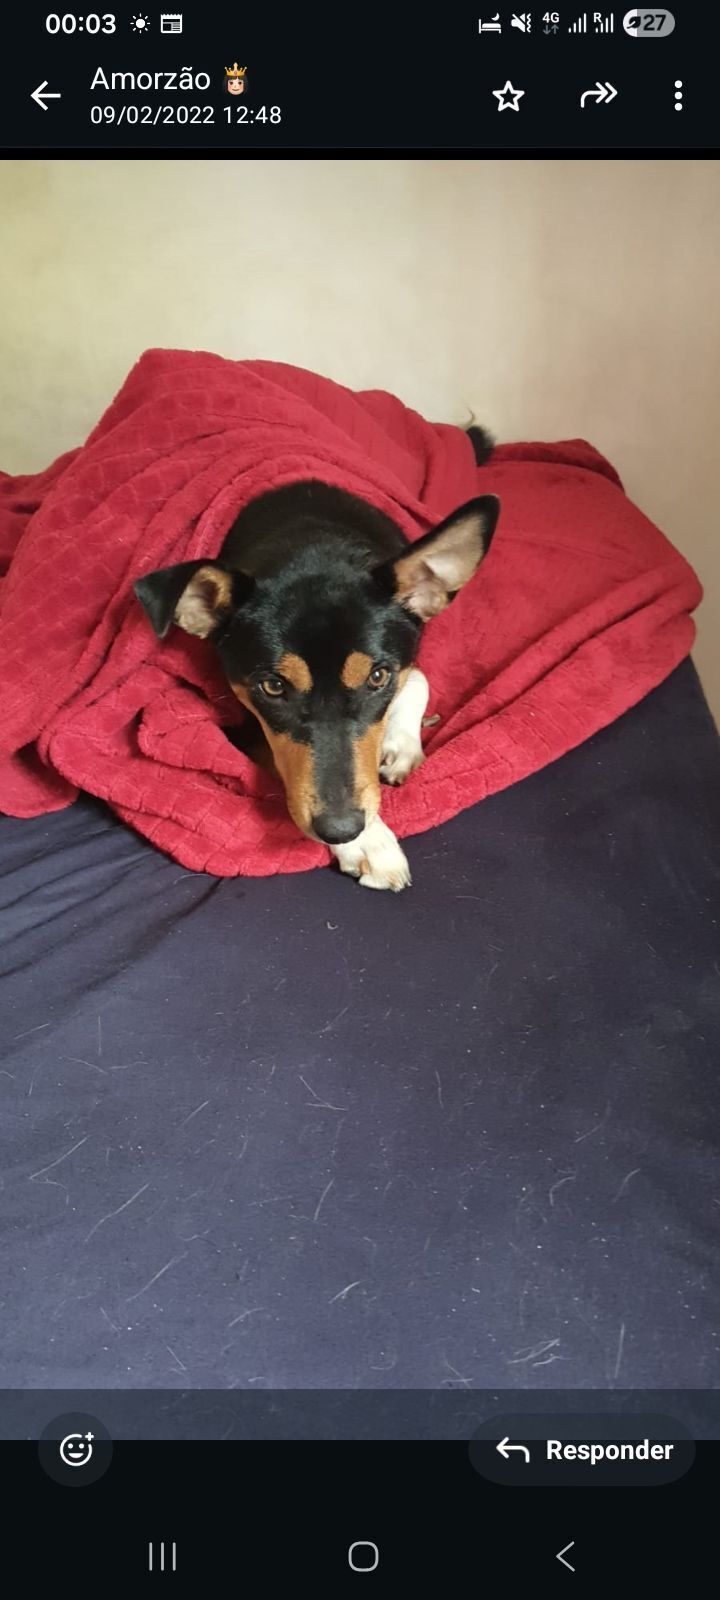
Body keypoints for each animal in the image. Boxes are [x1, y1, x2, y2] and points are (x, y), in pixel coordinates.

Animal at [134, 425, 499, 891]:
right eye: (273, 686)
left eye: (377, 677)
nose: (341, 830)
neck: (313, 544)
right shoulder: (242, 720)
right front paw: (370, 843)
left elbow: (418, 679)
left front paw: (400, 744)